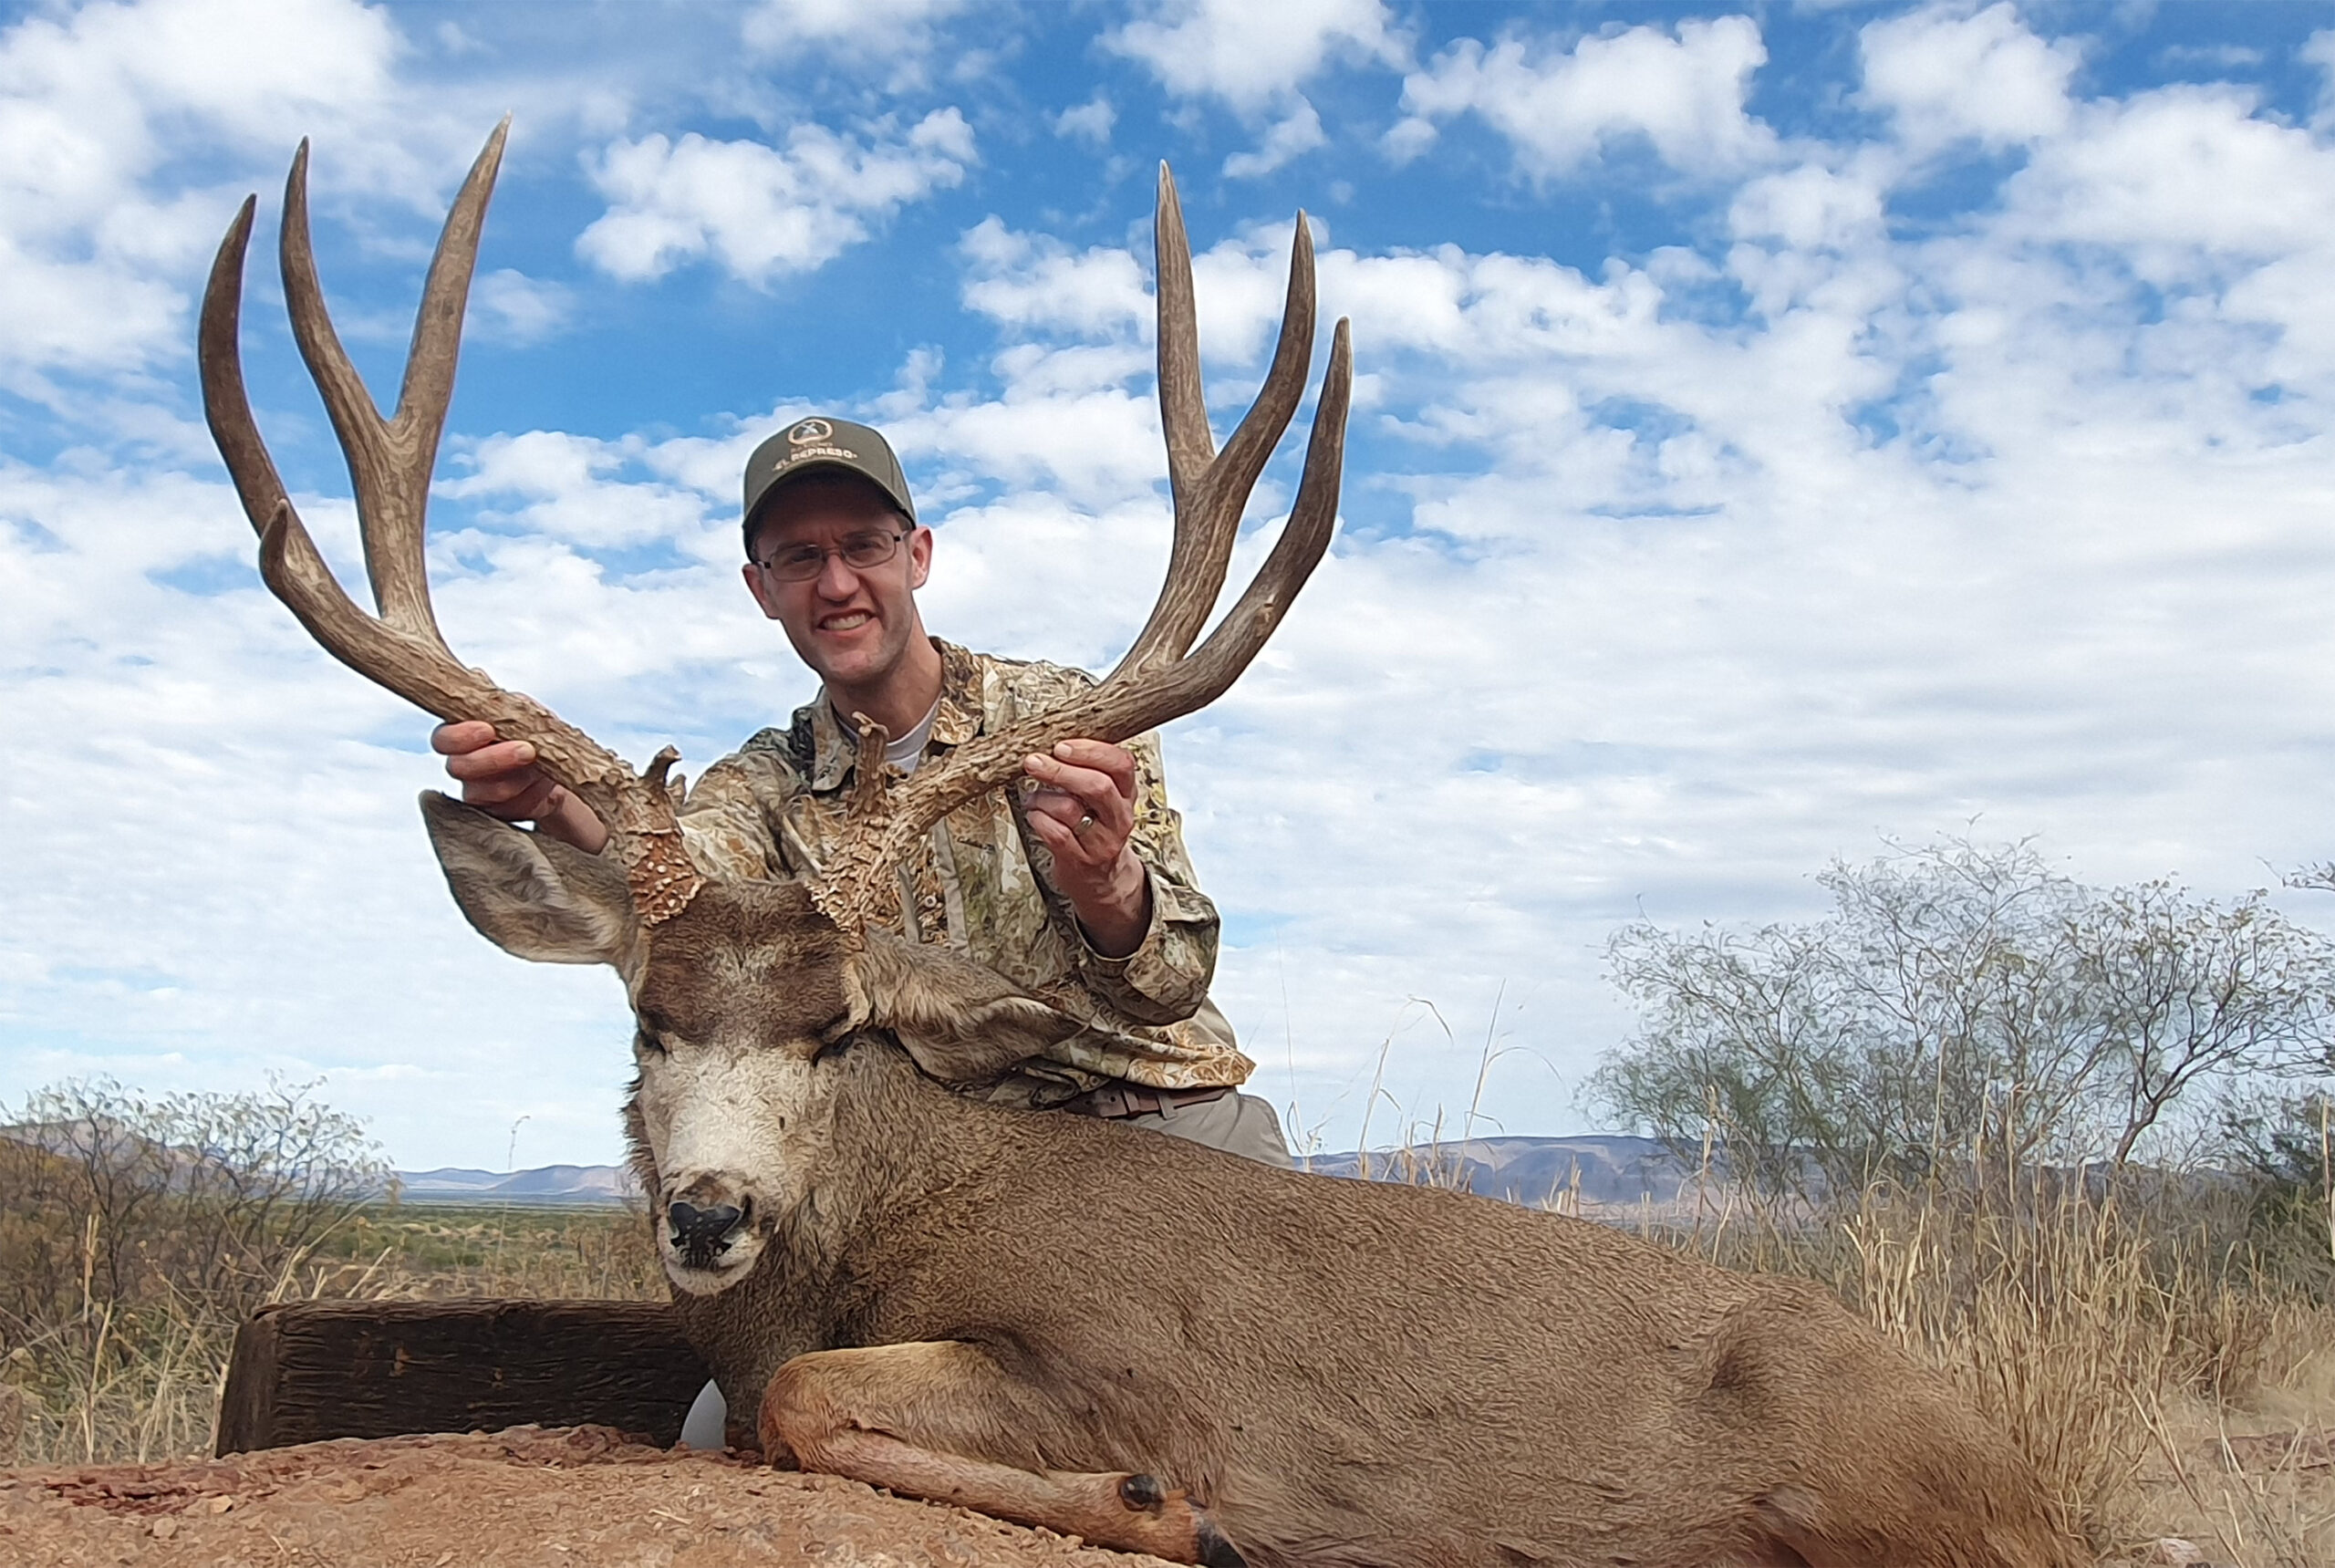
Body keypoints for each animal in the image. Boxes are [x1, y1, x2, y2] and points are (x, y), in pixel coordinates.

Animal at [198, 121, 2086, 1568]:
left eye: (838, 1027)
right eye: (650, 1019)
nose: (713, 1212)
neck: (885, 1222)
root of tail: (2024, 1471)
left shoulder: (1131, 1356)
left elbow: (811, 1400)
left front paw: (1178, 1505)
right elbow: (775, 1399)